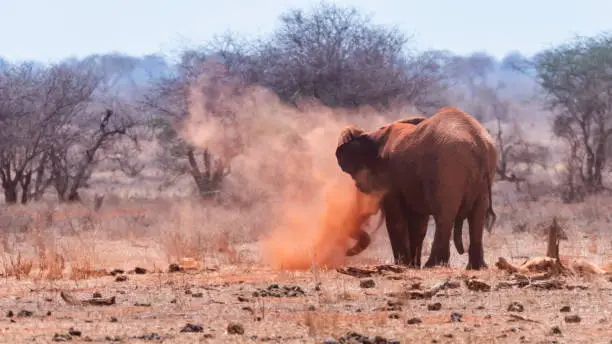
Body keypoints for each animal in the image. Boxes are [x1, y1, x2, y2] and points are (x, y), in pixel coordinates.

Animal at [334, 106, 498, 270]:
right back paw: (476, 267)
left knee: (445, 215)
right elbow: (418, 224)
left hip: (448, 168)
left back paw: (432, 265)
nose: (346, 252)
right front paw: (412, 266)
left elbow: (395, 220)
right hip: (483, 175)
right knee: (477, 216)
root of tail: (479, 143)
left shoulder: (391, 179)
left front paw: (403, 265)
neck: (373, 135)